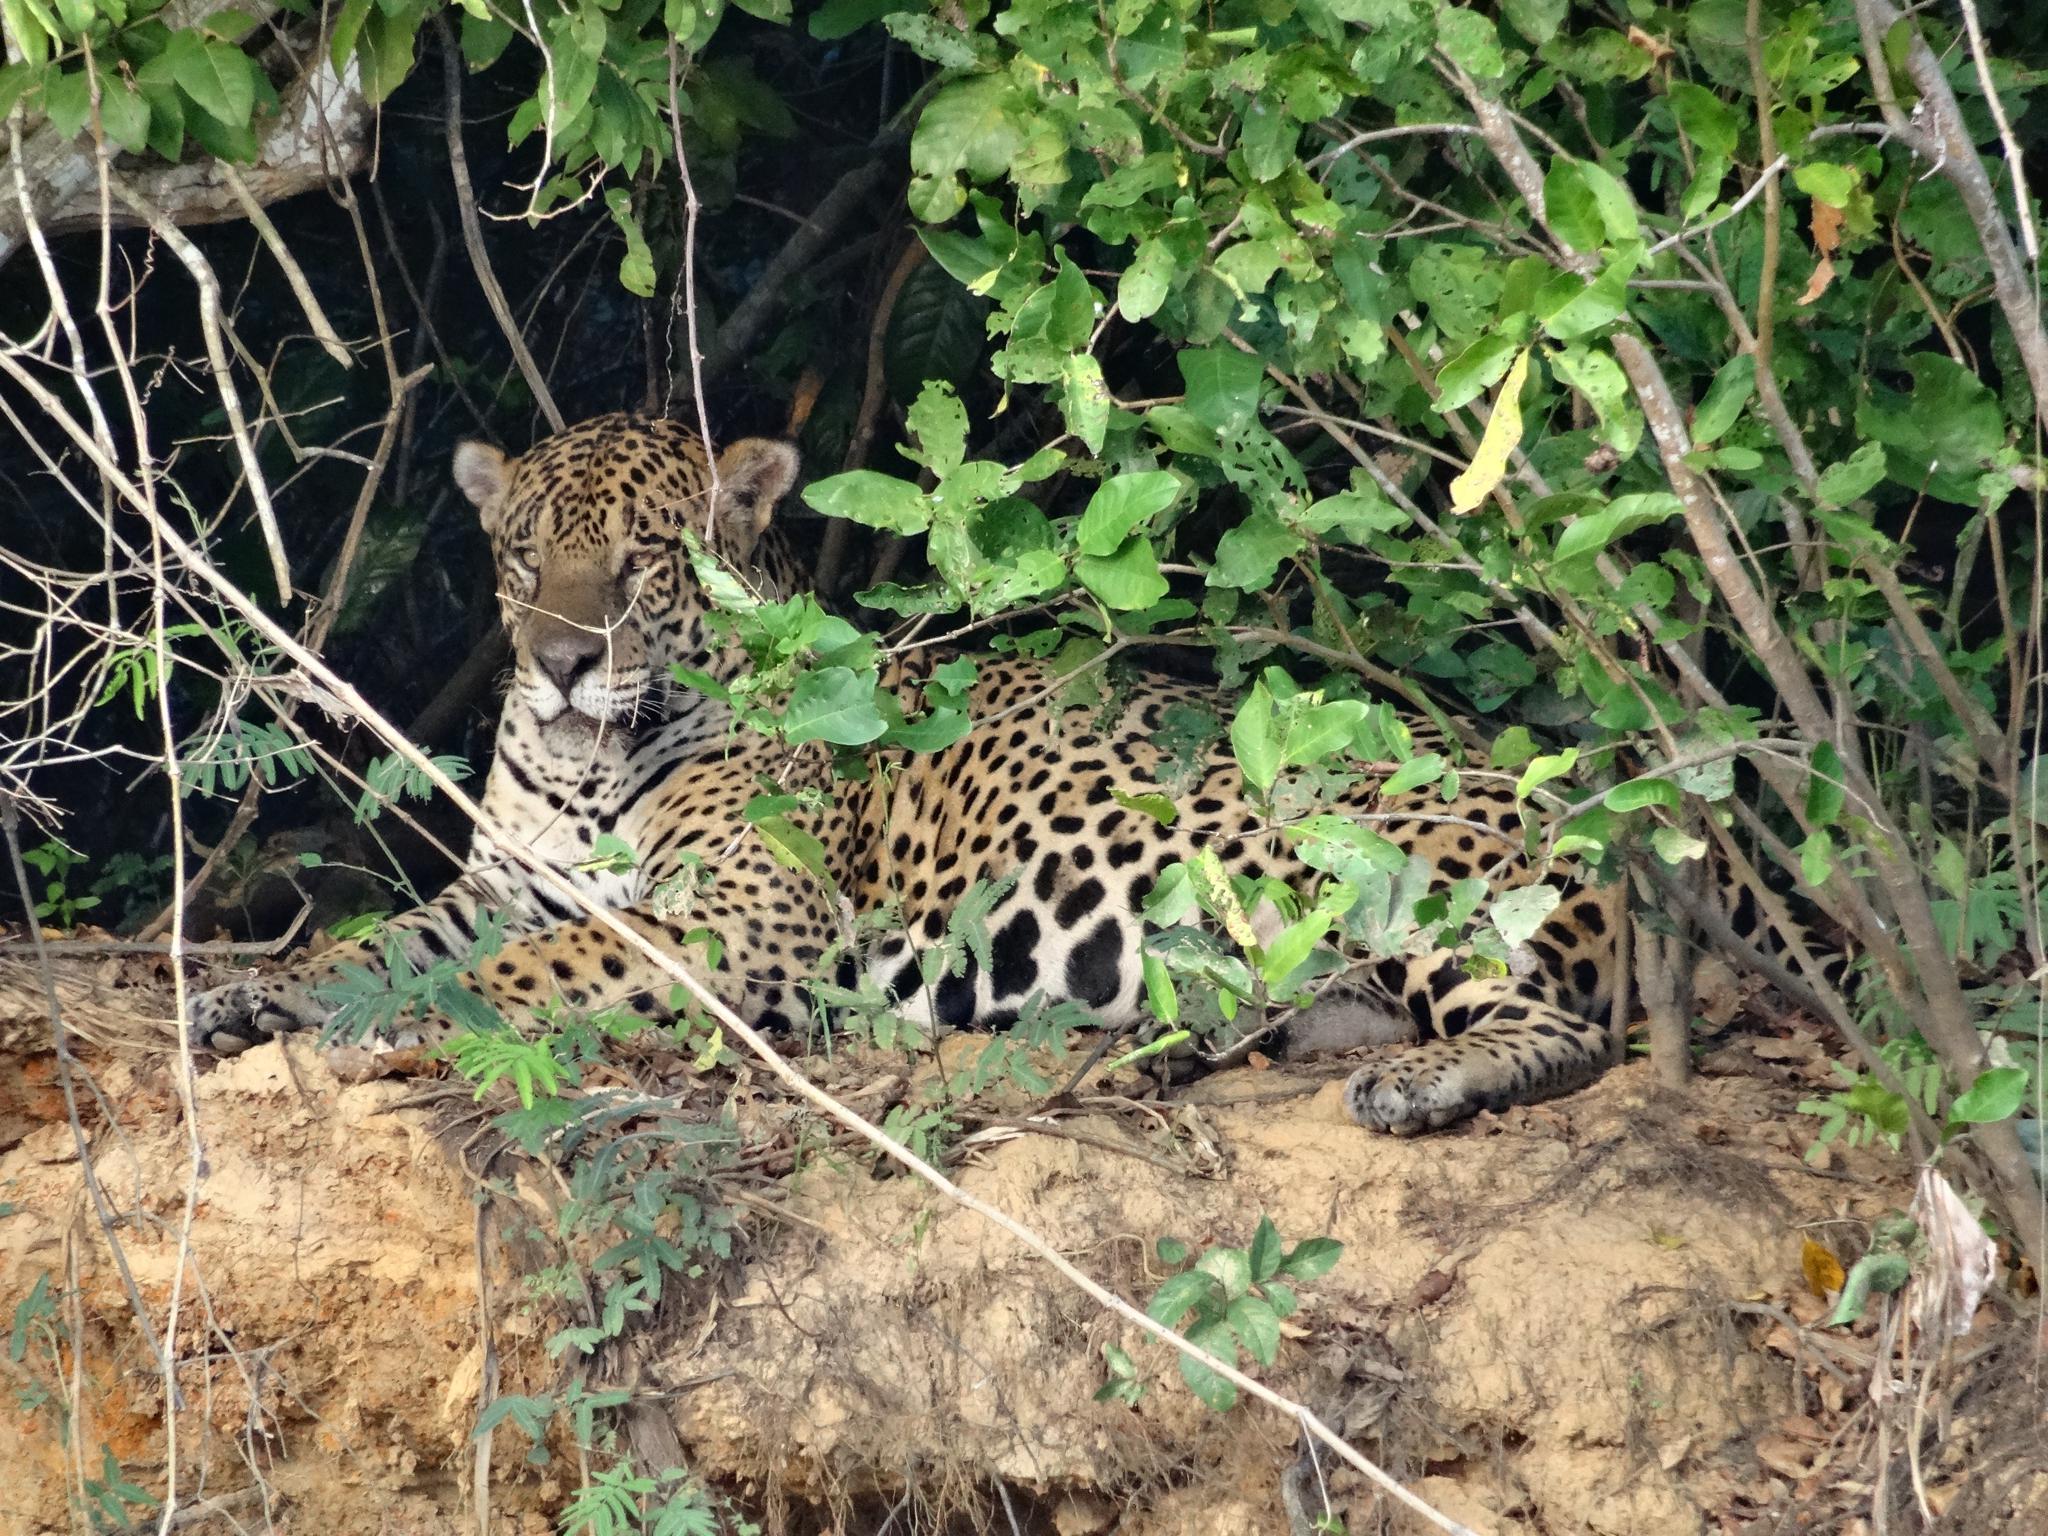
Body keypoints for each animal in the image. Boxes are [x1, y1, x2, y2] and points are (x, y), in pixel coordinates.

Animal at [191, 413, 1835, 1134]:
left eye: (643, 562)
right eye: (528, 556)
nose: (557, 664)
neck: (590, 760)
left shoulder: (744, 923)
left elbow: (529, 974)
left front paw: (385, 1027)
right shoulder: (514, 883)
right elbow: (405, 937)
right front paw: (264, 997)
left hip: (1390, 862)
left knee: (1561, 1025)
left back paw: (1422, 1085)